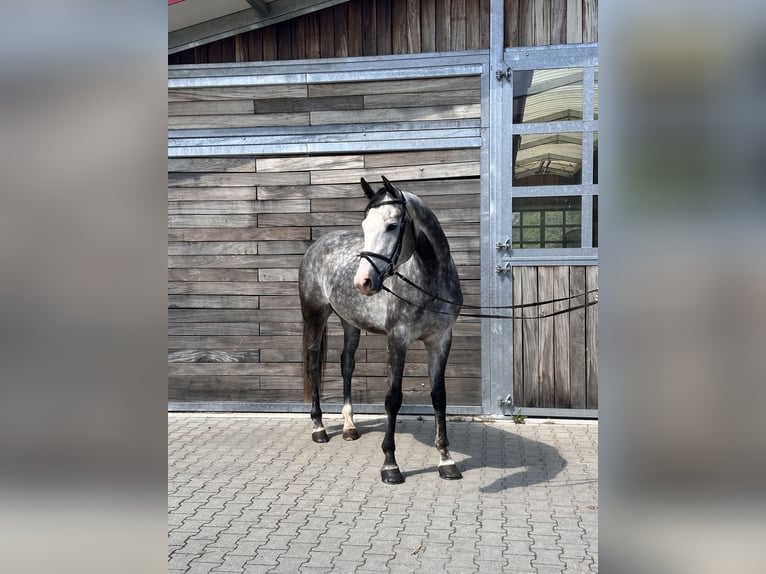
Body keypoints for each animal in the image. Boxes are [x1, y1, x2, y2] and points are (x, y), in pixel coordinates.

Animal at [298, 176, 464, 484]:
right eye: (365, 226)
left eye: (392, 226)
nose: (362, 282)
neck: (429, 282)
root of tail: (318, 245)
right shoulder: (397, 340)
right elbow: (393, 399)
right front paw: (390, 465)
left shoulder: (440, 340)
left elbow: (439, 397)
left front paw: (446, 460)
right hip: (315, 315)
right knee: (313, 364)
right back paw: (319, 428)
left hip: (349, 322)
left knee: (347, 364)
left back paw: (349, 426)